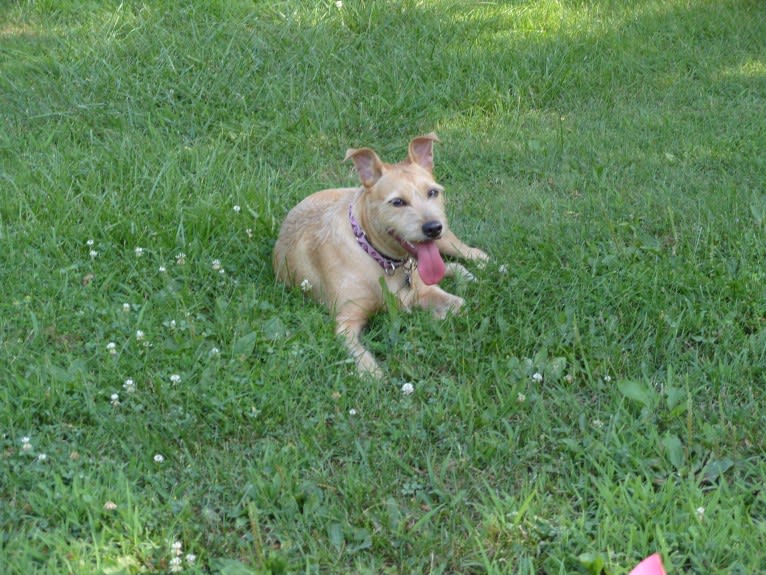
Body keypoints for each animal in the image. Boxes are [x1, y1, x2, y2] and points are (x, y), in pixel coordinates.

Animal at [272, 133, 488, 380]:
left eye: (432, 192)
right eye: (397, 202)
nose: (433, 228)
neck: (383, 259)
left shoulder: (427, 290)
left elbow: (458, 304)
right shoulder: (346, 321)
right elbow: (358, 352)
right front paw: (371, 371)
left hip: (447, 241)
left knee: (464, 255)